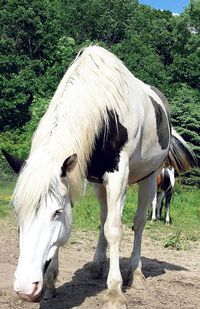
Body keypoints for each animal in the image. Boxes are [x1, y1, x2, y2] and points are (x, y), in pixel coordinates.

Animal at [2, 46, 197, 308]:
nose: (25, 288)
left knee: (139, 222)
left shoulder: (117, 176)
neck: (102, 107)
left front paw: (114, 292)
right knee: (104, 217)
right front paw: (51, 284)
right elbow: (98, 225)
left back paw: (135, 272)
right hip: (100, 185)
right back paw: (97, 265)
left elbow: (114, 229)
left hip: (150, 177)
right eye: (17, 211)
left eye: (57, 212)